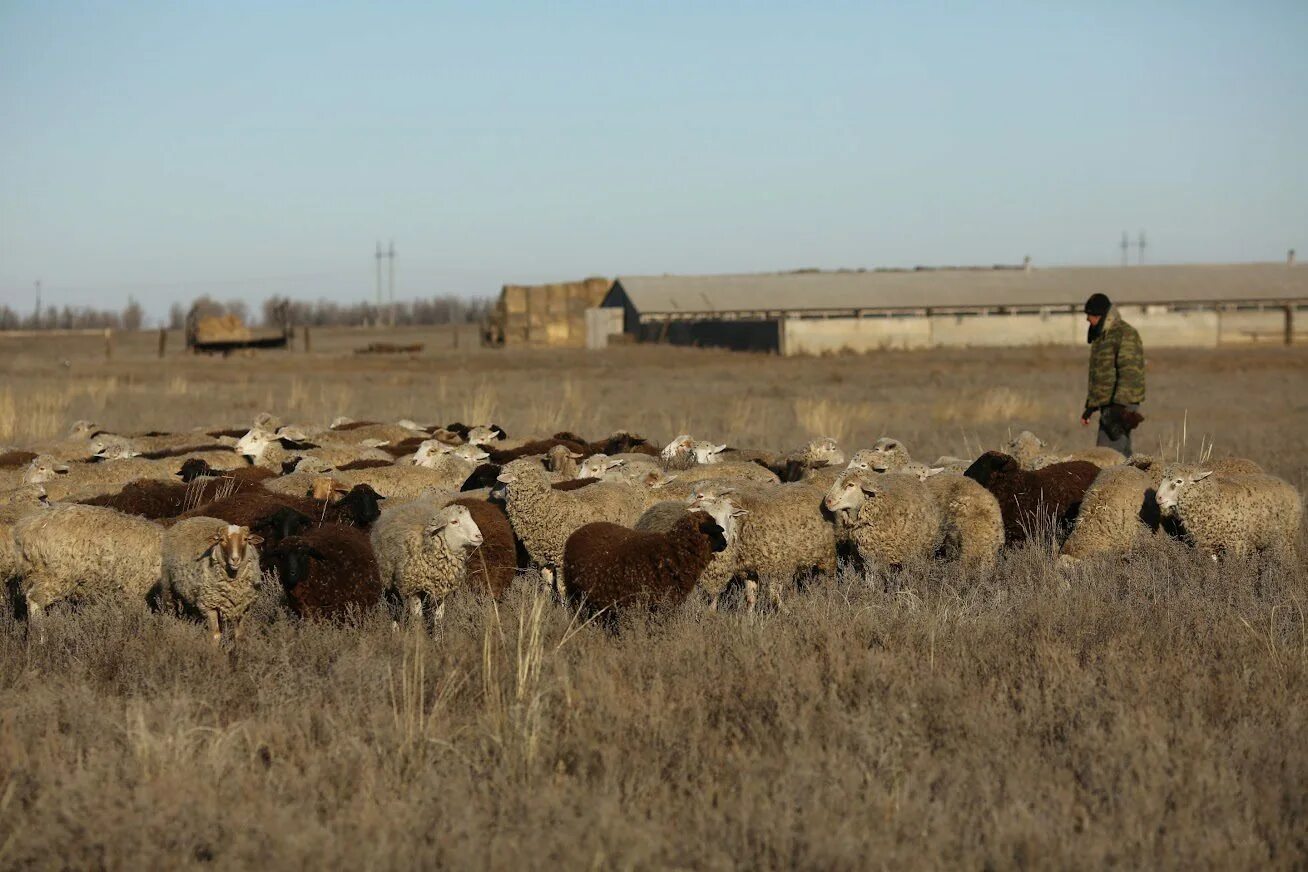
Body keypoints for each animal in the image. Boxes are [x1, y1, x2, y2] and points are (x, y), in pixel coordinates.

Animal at [491, 457, 646, 593]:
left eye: (500, 479)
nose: (492, 493)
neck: (546, 507)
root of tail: (625, 485)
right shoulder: (545, 557)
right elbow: (546, 584)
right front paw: (544, 603)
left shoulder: (561, 558)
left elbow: (561, 588)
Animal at [690, 481, 831, 611]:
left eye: (729, 516)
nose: (724, 537)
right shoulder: (748, 569)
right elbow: (750, 598)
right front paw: (749, 618)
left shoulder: (777, 565)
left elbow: (773, 595)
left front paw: (787, 612)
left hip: (826, 557)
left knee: (827, 580)